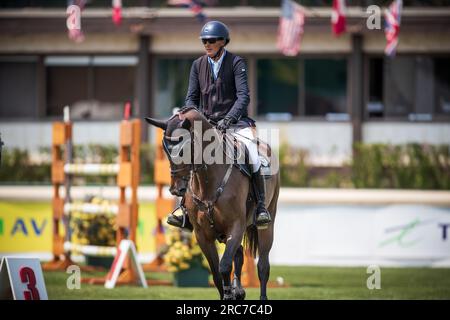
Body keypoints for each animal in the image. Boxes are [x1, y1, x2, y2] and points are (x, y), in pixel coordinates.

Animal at [146, 107, 278, 300]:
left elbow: (224, 266)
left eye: (184, 149)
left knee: (263, 265)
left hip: (267, 223)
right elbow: (216, 273)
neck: (208, 180)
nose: (176, 189)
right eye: (165, 149)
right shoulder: (203, 234)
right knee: (239, 255)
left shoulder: (236, 226)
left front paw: (230, 294)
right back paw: (239, 291)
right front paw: (229, 293)